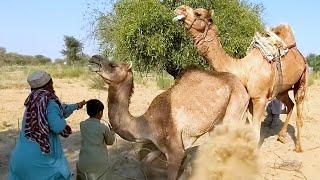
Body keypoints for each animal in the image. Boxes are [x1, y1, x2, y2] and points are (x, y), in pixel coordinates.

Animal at [89, 55, 249, 180]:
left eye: (113, 65)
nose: (94, 58)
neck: (146, 123)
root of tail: (242, 85)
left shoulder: (175, 150)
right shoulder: (160, 146)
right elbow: (145, 163)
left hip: (236, 108)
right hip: (217, 123)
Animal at [174, 5, 308, 152]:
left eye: (198, 13)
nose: (179, 9)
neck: (244, 70)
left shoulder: (259, 98)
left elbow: (255, 131)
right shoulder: (249, 100)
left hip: (303, 78)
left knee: (299, 109)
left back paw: (298, 147)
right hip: (281, 89)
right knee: (290, 104)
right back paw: (281, 137)